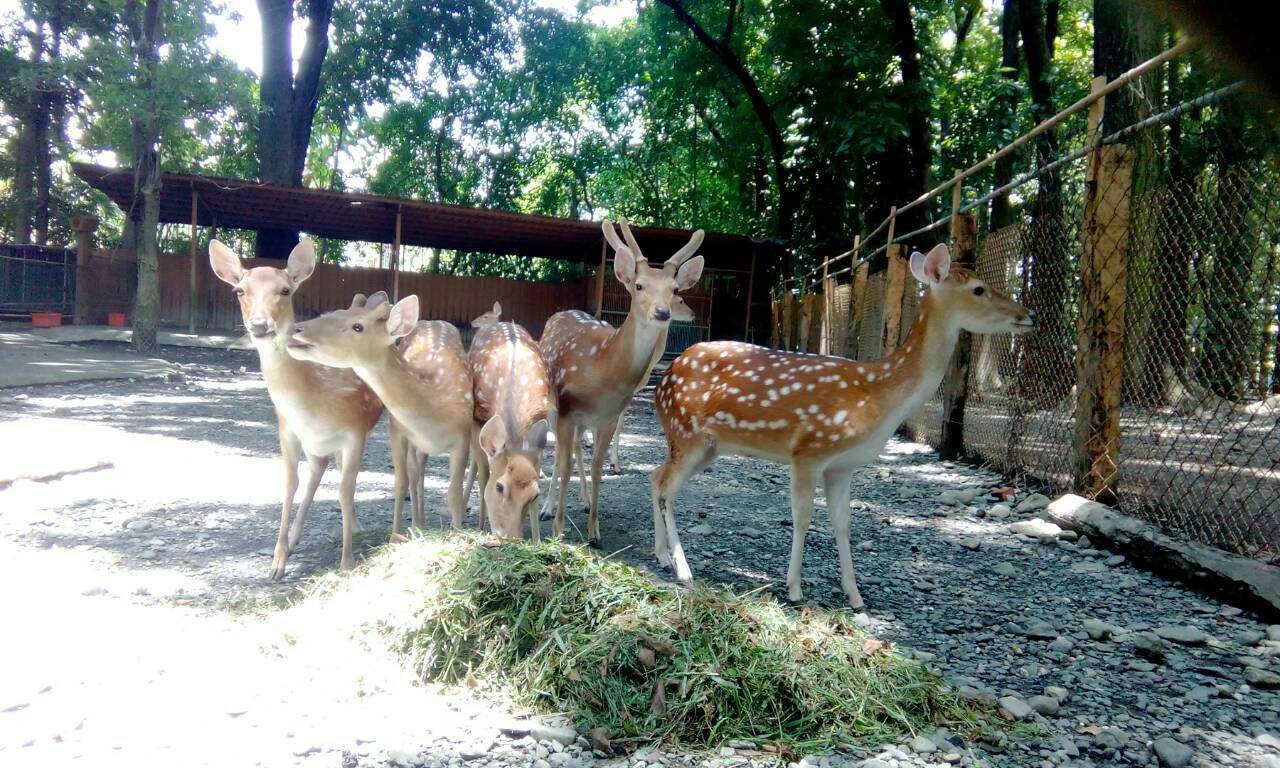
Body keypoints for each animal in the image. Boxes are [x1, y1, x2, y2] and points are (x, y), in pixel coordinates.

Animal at [206, 236, 378, 578]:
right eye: (239, 291)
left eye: (285, 290)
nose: (260, 324)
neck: (316, 404)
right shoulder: (287, 429)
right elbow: (289, 484)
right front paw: (277, 562)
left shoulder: (355, 430)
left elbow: (345, 489)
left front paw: (347, 561)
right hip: (317, 445)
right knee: (317, 471)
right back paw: (299, 538)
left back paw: (355, 528)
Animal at [285, 294, 476, 535]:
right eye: (335, 311)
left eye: (357, 326)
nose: (295, 328)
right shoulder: (396, 430)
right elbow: (401, 483)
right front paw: (395, 536)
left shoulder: (463, 436)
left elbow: (454, 490)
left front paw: (458, 530)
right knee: (416, 473)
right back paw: (418, 524)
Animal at [537, 218, 706, 542]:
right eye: (639, 286)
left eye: (675, 289)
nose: (662, 312)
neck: (601, 371)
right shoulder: (566, 410)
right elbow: (563, 462)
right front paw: (558, 529)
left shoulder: (609, 417)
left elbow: (597, 466)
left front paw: (594, 531)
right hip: (552, 406)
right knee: (559, 453)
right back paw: (547, 508)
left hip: (583, 422)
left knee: (577, 449)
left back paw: (585, 502)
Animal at [655, 243, 1034, 609]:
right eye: (979, 289)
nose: (1028, 316)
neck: (879, 396)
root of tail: (665, 378)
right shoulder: (808, 449)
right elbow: (803, 515)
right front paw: (795, 588)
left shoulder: (842, 466)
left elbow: (843, 524)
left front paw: (855, 596)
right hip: (687, 432)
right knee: (667, 489)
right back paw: (683, 569)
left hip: (704, 445)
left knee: (656, 478)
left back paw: (663, 556)